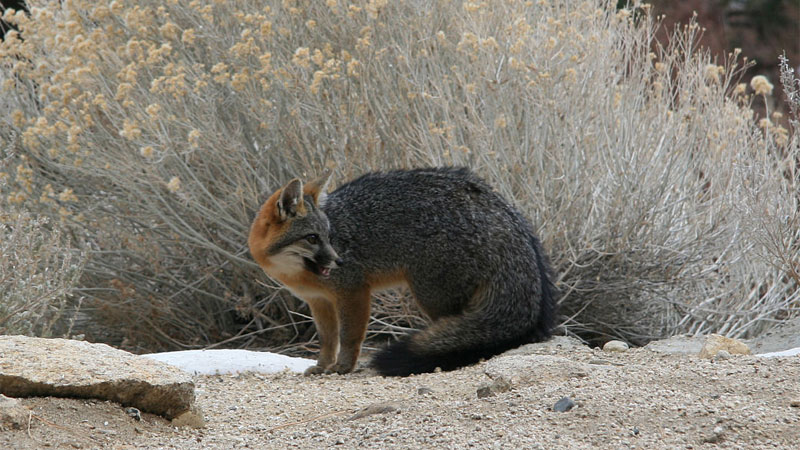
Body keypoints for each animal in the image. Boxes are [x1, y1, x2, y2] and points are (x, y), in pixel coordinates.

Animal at [248, 167, 556, 376]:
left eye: (329, 236)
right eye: (313, 238)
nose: (340, 261)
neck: (294, 273)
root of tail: (498, 205)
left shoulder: (353, 292)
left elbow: (349, 337)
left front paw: (343, 367)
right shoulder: (319, 301)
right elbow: (327, 340)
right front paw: (322, 366)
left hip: (432, 296)